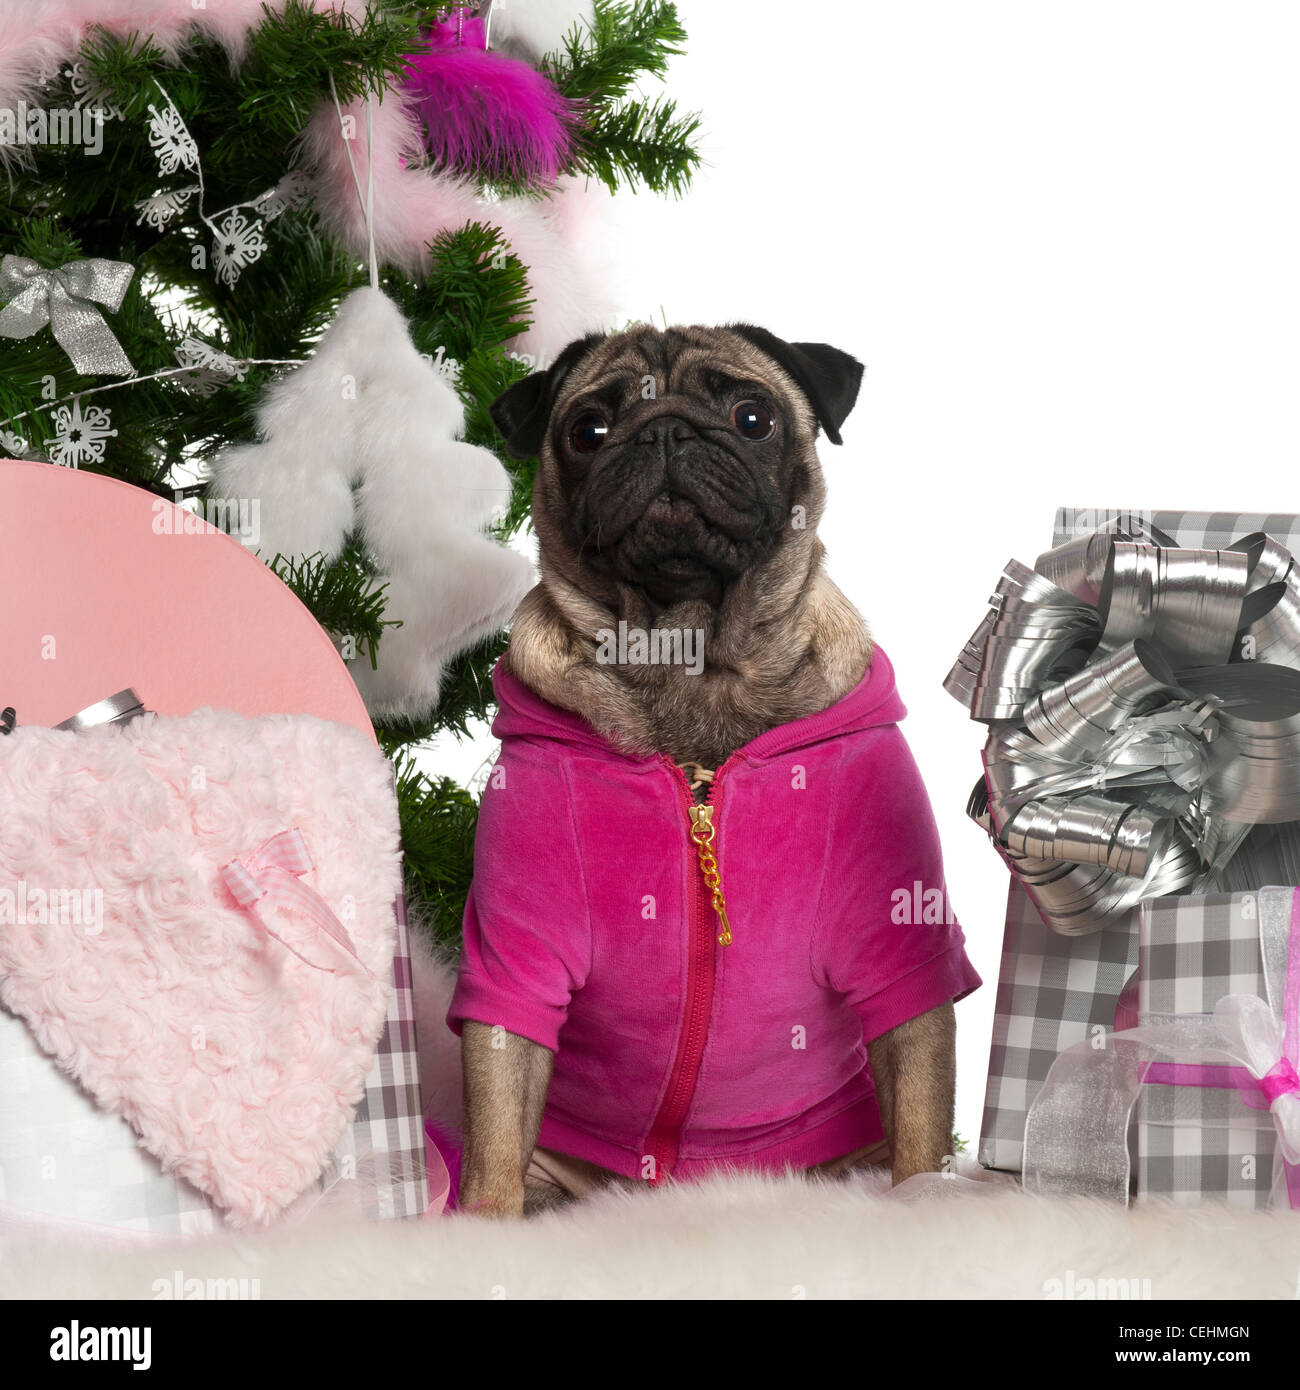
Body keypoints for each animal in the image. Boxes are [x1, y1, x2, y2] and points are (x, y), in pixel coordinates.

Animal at [456, 325, 967, 1217]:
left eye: (753, 417)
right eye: (587, 429)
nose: (664, 431)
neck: (690, 660)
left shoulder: (900, 956)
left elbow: (920, 1125)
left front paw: (920, 1202)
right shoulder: (514, 967)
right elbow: (492, 1145)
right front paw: (481, 1227)